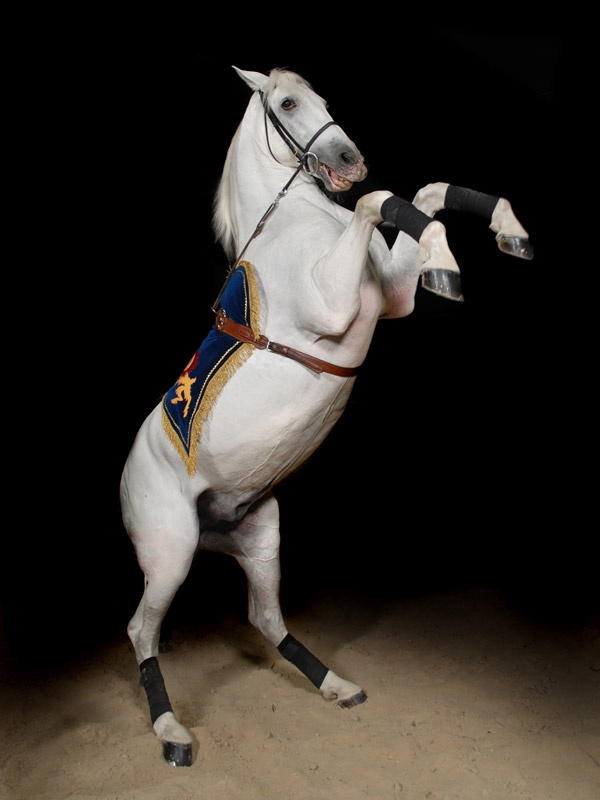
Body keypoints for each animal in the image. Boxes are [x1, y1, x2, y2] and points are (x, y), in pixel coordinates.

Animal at [120, 65, 533, 766]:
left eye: (324, 99)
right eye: (287, 103)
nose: (350, 161)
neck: (295, 220)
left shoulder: (391, 299)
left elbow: (425, 191)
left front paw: (506, 233)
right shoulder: (334, 305)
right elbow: (382, 201)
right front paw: (449, 260)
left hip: (259, 537)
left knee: (264, 619)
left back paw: (334, 684)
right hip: (169, 553)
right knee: (141, 631)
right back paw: (171, 731)